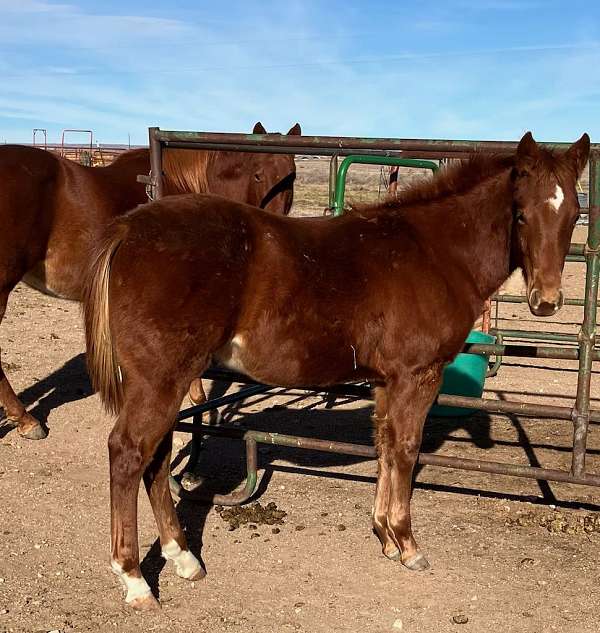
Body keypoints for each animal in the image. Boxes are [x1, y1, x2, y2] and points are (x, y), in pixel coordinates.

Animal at [83, 132, 584, 608]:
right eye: (521, 214)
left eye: (575, 214)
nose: (546, 301)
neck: (434, 253)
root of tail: (127, 229)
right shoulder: (417, 375)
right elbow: (407, 448)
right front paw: (407, 543)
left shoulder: (386, 380)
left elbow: (385, 444)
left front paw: (384, 535)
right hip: (161, 378)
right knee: (128, 453)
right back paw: (135, 580)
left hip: (164, 380)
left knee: (157, 456)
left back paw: (183, 557)